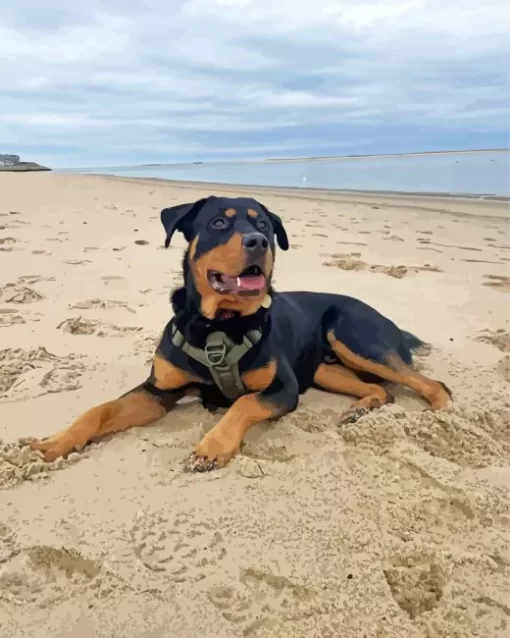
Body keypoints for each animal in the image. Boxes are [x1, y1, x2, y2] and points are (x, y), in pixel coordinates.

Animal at [28, 198, 450, 472]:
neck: (218, 326)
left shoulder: (283, 388)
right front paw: (56, 442)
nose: (258, 242)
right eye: (219, 223)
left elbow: (242, 403)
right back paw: (361, 409)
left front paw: (212, 446)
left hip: (352, 334)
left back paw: (441, 418)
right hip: (324, 369)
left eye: (263, 226)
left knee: (432, 384)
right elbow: (98, 410)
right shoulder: (158, 391)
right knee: (380, 388)